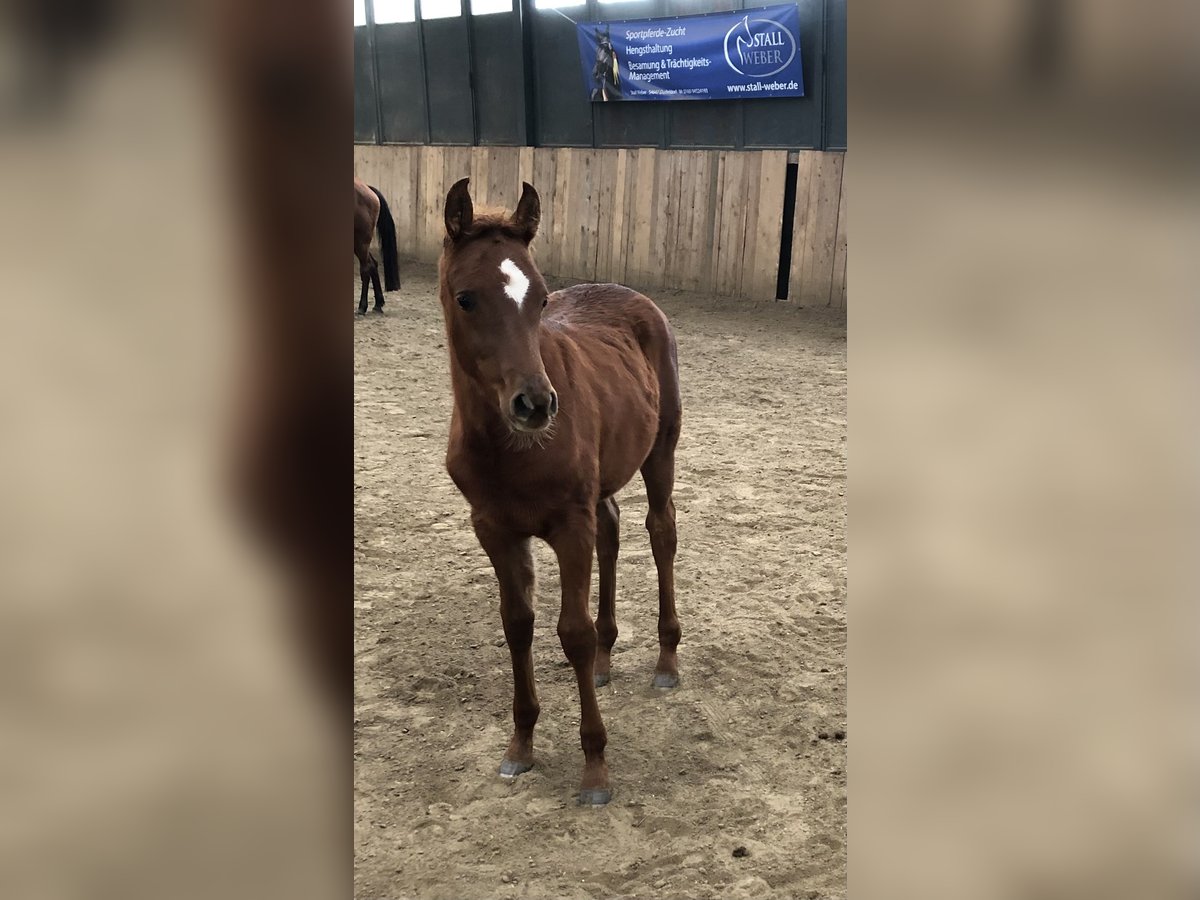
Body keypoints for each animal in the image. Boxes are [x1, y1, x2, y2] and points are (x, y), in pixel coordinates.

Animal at [350, 177, 398, 316]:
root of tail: (368, 189)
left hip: (360, 242)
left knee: (366, 268)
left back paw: (362, 307)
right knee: (373, 264)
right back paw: (378, 304)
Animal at [439, 180, 686, 806]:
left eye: (542, 298)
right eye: (466, 298)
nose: (535, 404)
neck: (510, 448)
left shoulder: (568, 524)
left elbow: (570, 632)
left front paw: (595, 767)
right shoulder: (495, 528)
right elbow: (517, 624)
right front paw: (520, 744)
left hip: (660, 451)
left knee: (660, 531)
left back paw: (666, 659)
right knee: (613, 530)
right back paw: (605, 657)